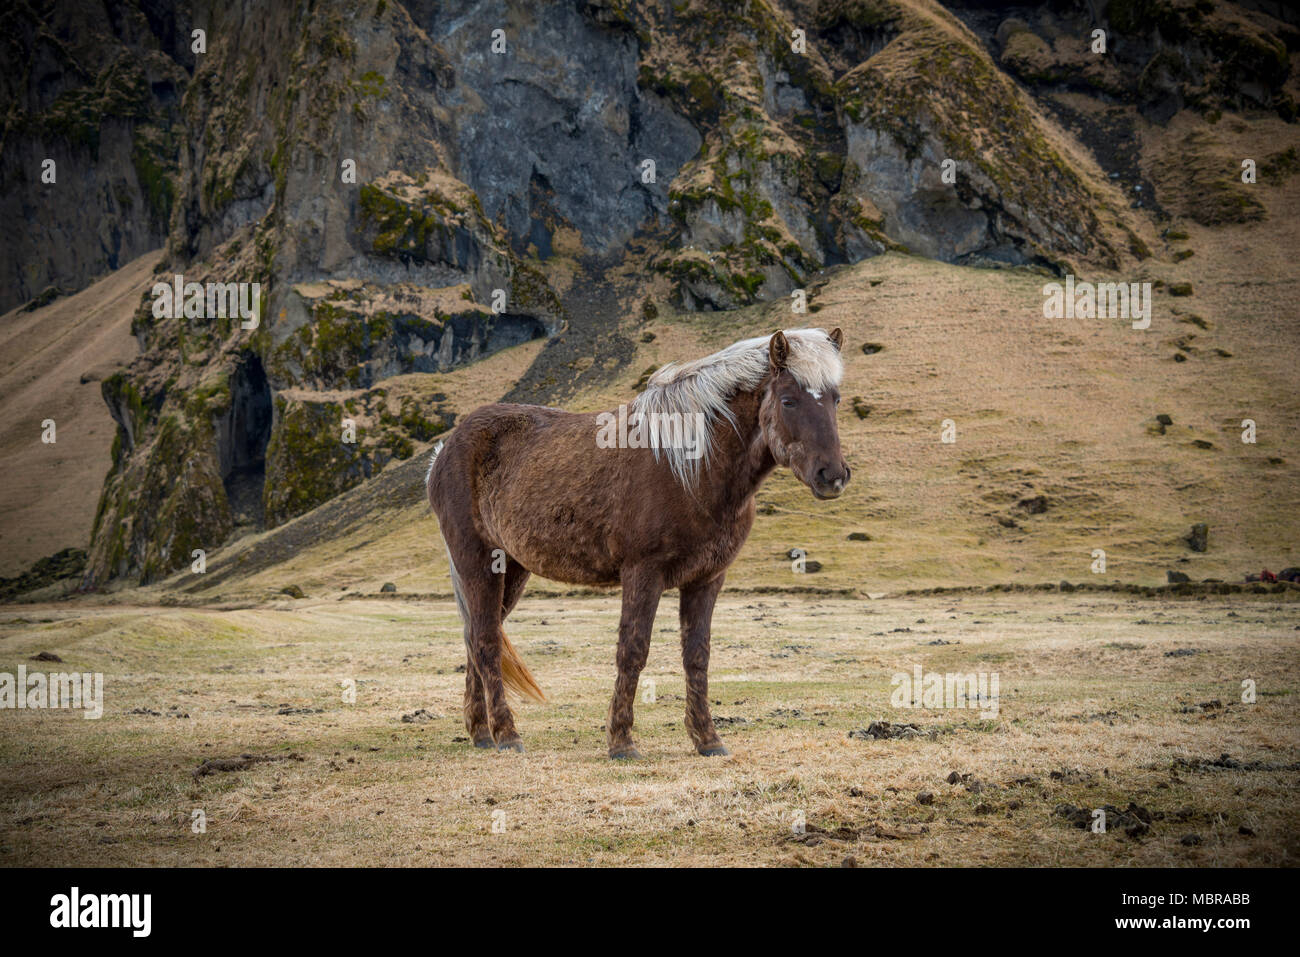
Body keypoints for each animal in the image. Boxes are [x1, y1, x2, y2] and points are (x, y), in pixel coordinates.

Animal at [428, 325, 852, 759]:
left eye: (835, 399)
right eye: (788, 400)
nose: (832, 476)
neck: (691, 467)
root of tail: (445, 449)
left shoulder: (706, 579)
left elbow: (697, 656)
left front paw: (708, 739)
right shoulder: (642, 573)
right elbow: (632, 651)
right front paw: (621, 741)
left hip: (511, 569)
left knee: (478, 638)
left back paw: (481, 733)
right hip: (478, 563)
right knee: (485, 642)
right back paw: (507, 734)